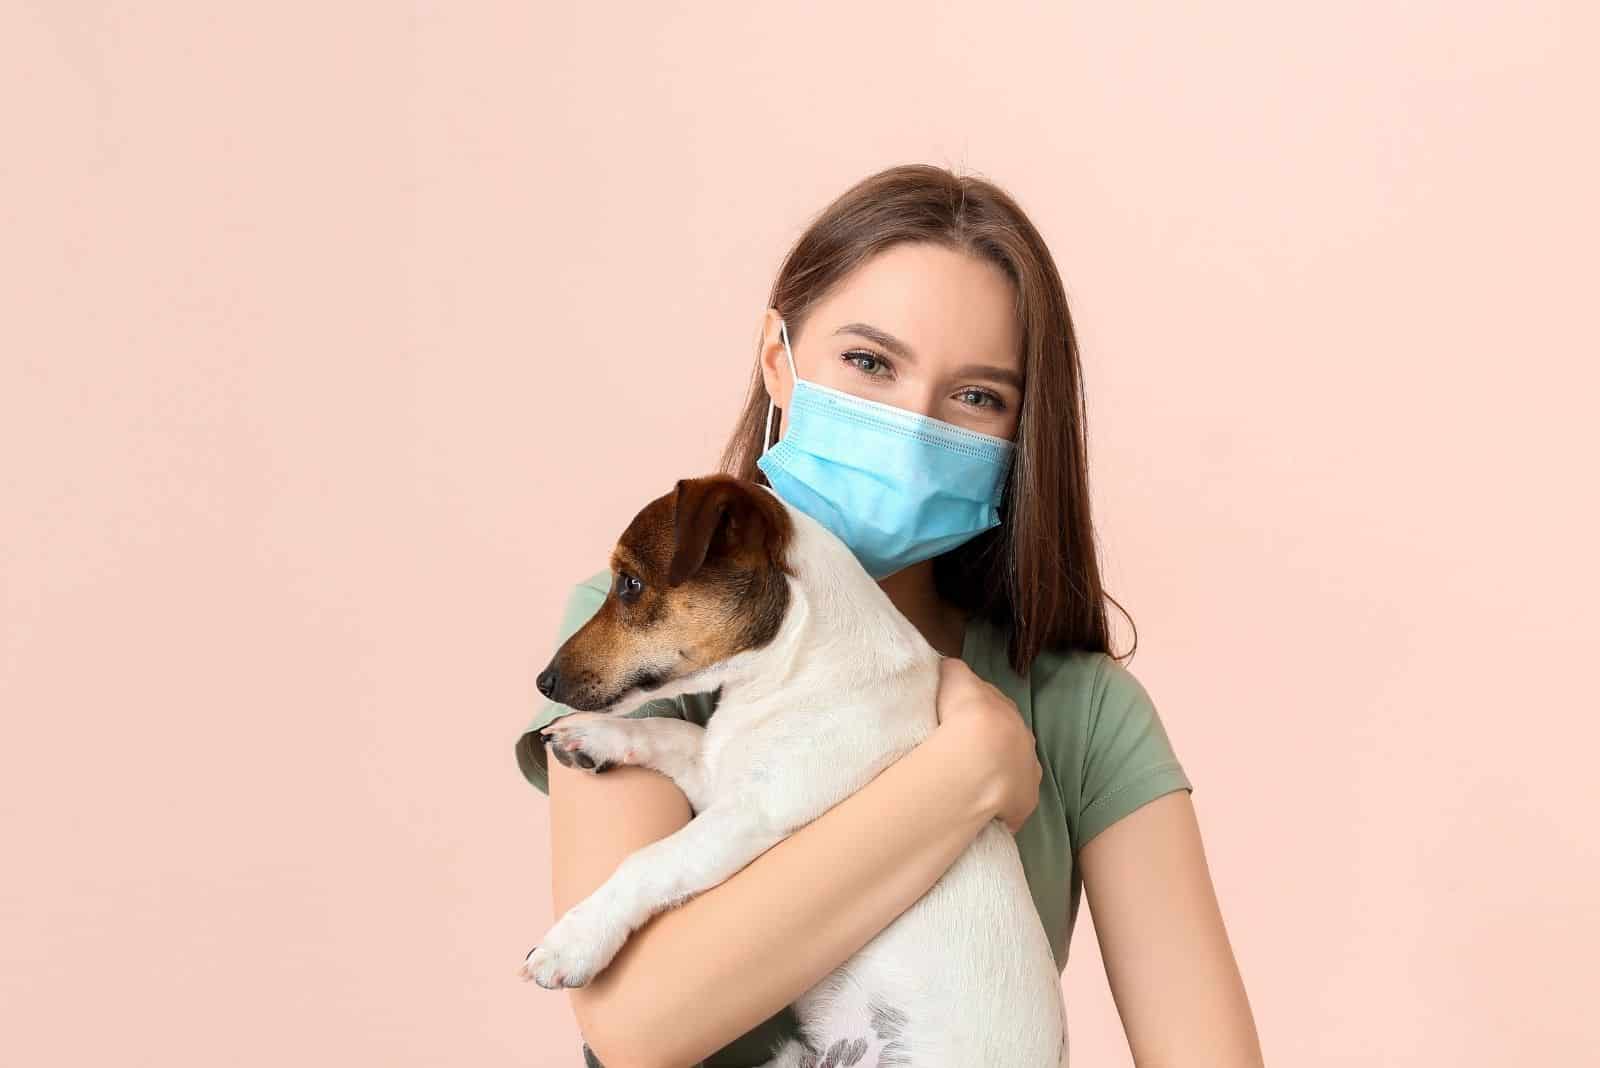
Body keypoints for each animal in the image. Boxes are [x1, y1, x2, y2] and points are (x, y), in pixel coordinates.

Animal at [524, 476, 1068, 1068]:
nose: (543, 681)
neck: (797, 665)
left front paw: (572, 943)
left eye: (630, 583)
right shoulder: (718, 774)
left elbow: (647, 862)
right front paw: (590, 735)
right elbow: (672, 732)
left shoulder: (753, 814)